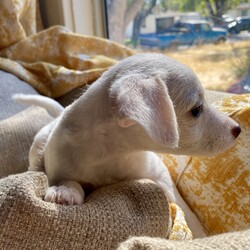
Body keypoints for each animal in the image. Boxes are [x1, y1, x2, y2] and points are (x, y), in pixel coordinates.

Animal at [13, 53, 240, 237]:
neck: (112, 153)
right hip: (39, 144)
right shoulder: (60, 166)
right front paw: (64, 191)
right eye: (196, 110)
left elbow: (177, 201)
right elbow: (67, 180)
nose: (237, 129)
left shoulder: (159, 173)